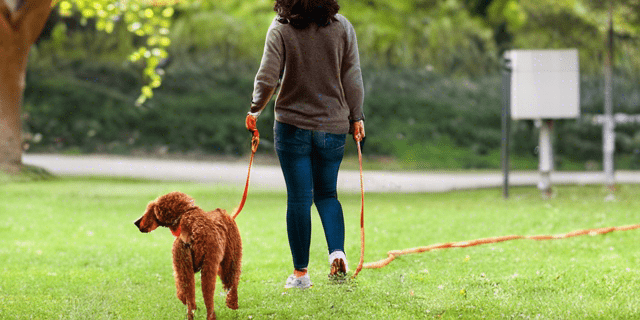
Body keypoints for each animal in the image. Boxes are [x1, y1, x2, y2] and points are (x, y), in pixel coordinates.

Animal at [134, 192, 241, 320]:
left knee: (231, 282)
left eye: (151, 209)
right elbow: (189, 296)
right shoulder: (188, 267)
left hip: (229, 258)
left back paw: (231, 304)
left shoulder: (203, 265)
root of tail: (225, 213)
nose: (135, 222)